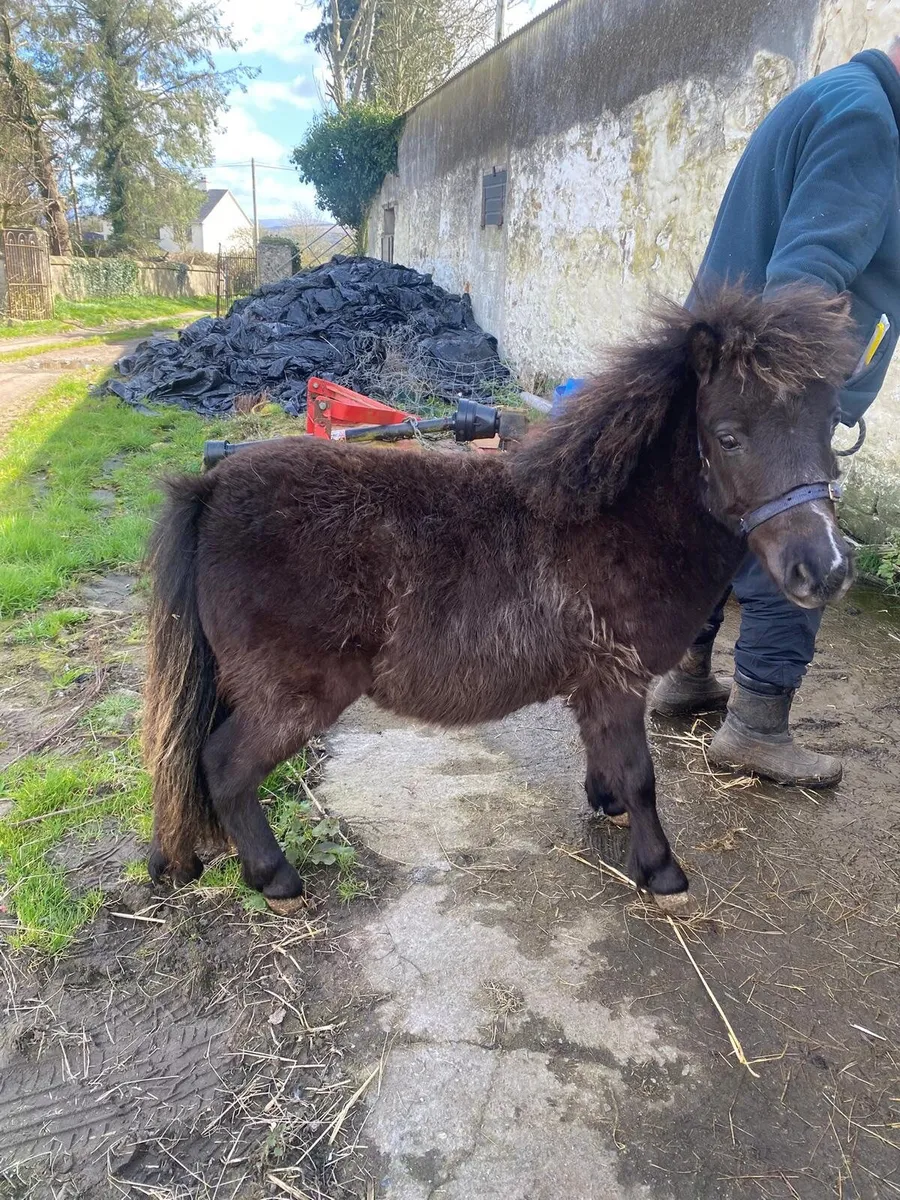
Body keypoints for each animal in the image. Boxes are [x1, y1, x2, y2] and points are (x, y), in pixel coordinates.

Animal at [143, 285, 858, 913]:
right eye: (729, 436)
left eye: (830, 428)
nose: (824, 569)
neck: (617, 520)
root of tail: (212, 491)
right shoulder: (617, 676)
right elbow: (641, 775)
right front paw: (660, 871)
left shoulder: (597, 683)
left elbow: (606, 756)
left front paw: (607, 807)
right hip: (292, 695)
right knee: (223, 766)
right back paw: (275, 879)